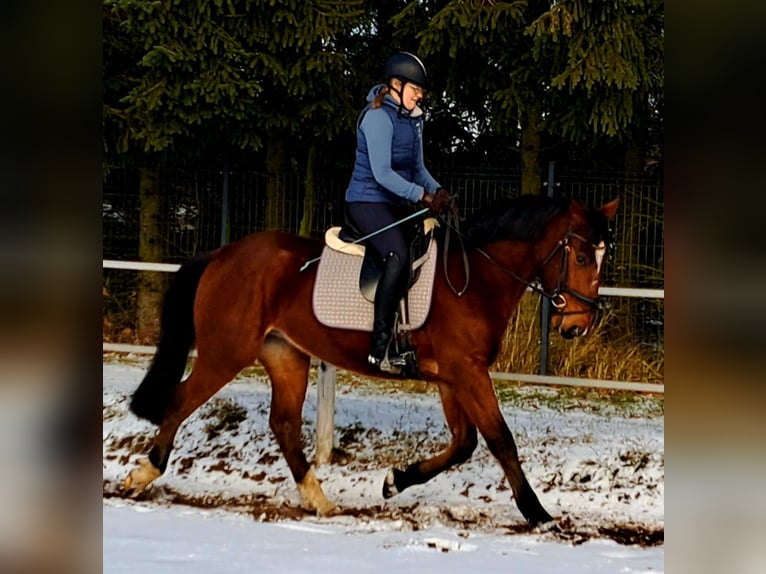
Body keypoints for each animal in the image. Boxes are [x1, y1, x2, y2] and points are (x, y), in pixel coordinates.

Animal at [123, 194, 619, 526]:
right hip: (225, 352)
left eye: (602, 258)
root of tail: (222, 254)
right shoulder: (467, 371)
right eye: (579, 255)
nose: (577, 326)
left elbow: (464, 443)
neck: (473, 278)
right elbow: (500, 440)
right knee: (180, 401)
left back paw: (318, 500)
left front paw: (395, 480)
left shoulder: (452, 377)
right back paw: (142, 474)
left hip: (286, 355)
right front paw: (537, 512)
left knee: (283, 424)